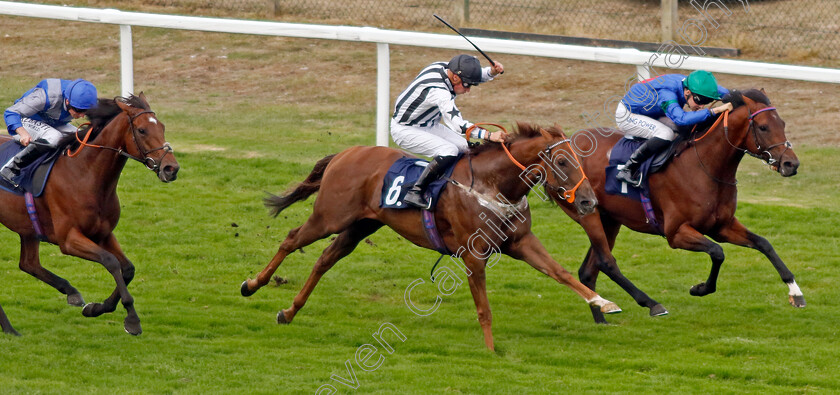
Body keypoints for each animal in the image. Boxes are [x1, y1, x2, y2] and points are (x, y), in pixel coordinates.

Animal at [0, 93, 179, 338]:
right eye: (142, 130)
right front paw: (131, 319)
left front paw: (97, 308)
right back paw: (10, 327)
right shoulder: (68, 239)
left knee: (29, 263)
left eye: (162, 126)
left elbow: (128, 269)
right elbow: (110, 261)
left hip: (26, 227)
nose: (171, 168)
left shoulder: (103, 234)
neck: (86, 174)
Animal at [240, 123, 620, 350]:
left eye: (579, 159)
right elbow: (484, 307)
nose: (588, 202)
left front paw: (604, 303)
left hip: (360, 226)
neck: (493, 185)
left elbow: (560, 272)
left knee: (325, 259)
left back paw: (289, 312)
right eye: (562, 161)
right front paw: (490, 349)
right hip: (329, 217)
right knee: (291, 240)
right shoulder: (473, 254)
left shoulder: (521, 242)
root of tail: (346, 153)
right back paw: (252, 284)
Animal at [556, 89, 804, 324]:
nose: (791, 164)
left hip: (610, 219)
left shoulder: (721, 226)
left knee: (588, 271)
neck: (704, 167)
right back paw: (652, 305)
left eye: (782, 124)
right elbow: (717, 252)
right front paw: (700, 288)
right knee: (606, 262)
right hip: (588, 213)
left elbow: (764, 244)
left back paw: (602, 321)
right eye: (763, 127)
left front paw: (796, 293)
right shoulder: (676, 233)